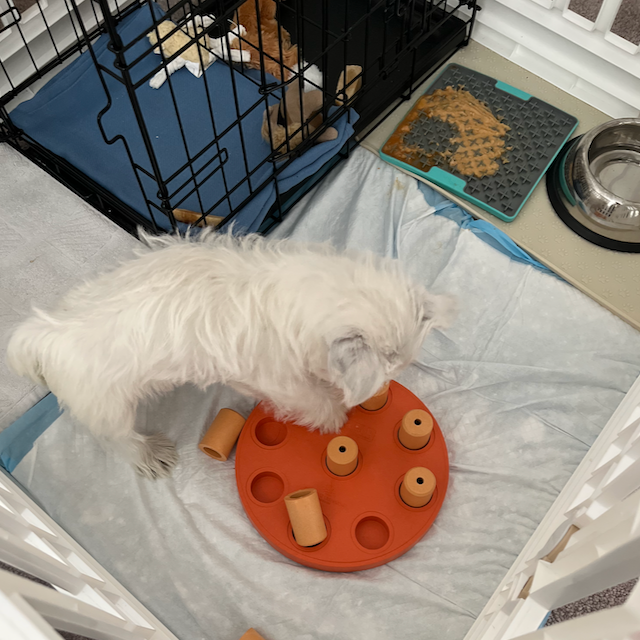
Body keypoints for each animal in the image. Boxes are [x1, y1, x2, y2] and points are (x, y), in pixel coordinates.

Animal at [6, 232, 456, 478]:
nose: (387, 385)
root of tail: (44, 337)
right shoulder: (275, 377)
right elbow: (310, 398)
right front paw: (334, 416)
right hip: (106, 406)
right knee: (117, 439)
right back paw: (150, 454)